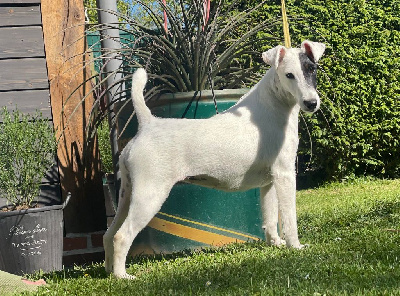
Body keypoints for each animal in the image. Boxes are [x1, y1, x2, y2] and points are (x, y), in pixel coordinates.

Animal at [103, 40, 324, 278]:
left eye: (312, 69)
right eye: (289, 75)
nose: (311, 103)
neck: (273, 104)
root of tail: (147, 125)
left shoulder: (270, 181)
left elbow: (271, 216)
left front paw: (275, 243)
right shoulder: (285, 175)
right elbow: (289, 218)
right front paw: (296, 246)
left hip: (127, 194)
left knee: (109, 234)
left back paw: (108, 271)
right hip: (149, 196)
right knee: (122, 236)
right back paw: (122, 276)